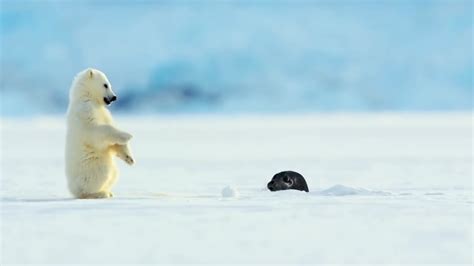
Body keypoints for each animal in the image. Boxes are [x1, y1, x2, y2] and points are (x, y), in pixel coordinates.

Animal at [65, 67, 135, 198]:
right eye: (105, 85)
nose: (114, 97)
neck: (87, 98)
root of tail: (72, 189)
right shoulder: (85, 111)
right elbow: (97, 131)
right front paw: (127, 135)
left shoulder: (104, 113)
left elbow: (112, 142)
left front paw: (129, 158)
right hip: (91, 165)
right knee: (101, 173)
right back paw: (100, 193)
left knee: (114, 173)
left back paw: (109, 191)